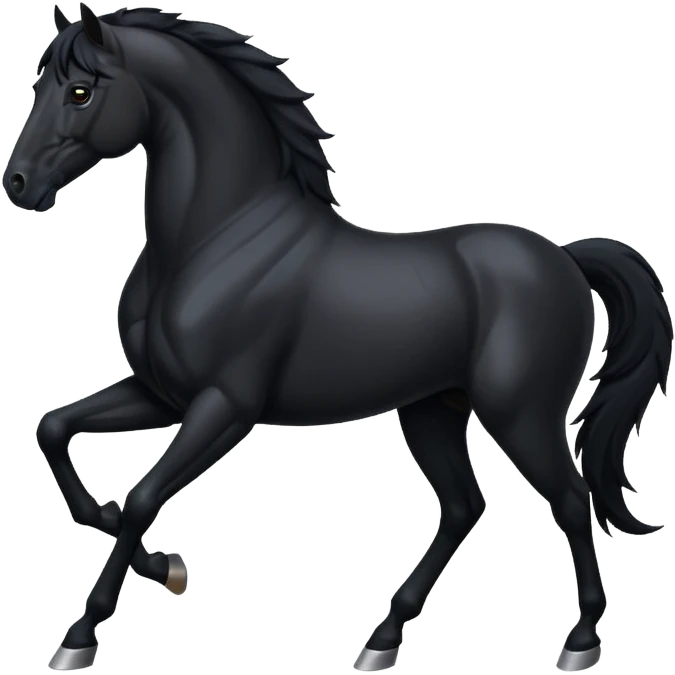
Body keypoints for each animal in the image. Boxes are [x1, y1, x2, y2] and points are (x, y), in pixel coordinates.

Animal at [5, 4, 672, 672]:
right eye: (36, 87)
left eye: (80, 91)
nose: (18, 185)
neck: (213, 239)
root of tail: (565, 257)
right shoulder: (160, 394)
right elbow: (56, 432)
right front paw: (165, 567)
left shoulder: (225, 406)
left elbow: (142, 498)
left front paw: (82, 633)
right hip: (433, 410)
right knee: (464, 506)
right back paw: (383, 638)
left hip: (521, 414)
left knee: (571, 498)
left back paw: (580, 640)